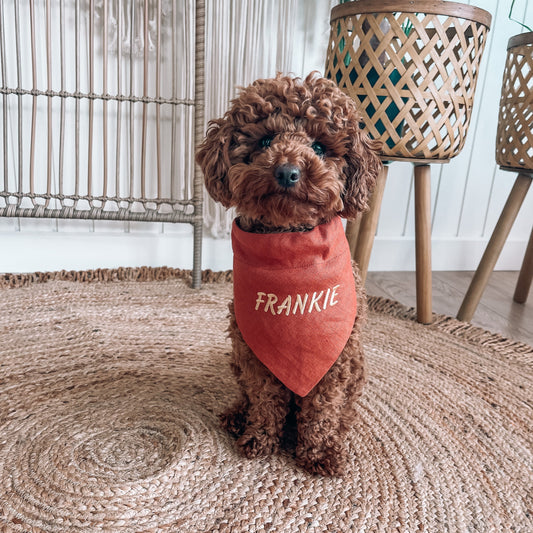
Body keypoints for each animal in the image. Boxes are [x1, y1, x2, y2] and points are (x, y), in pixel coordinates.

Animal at [195, 71, 382, 474]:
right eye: (265, 140)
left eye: (320, 145)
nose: (287, 171)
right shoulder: (254, 355)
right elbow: (265, 400)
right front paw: (260, 438)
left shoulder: (334, 361)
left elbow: (321, 409)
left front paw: (318, 452)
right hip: (238, 358)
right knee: (248, 396)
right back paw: (238, 416)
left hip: (356, 368)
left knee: (344, 410)